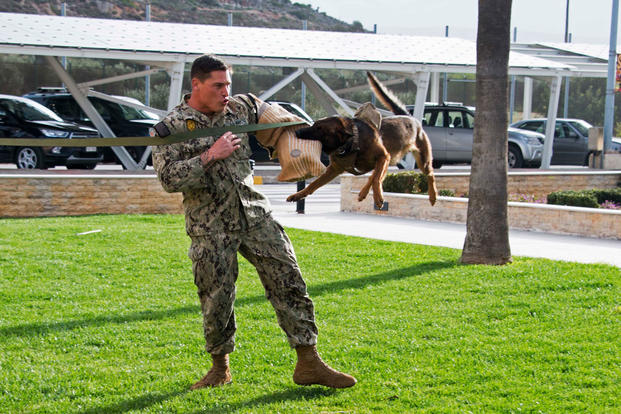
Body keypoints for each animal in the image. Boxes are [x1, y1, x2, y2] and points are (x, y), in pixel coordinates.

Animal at [286, 71, 436, 209]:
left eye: (318, 128)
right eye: (314, 125)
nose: (297, 131)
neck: (351, 144)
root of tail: (411, 118)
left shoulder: (383, 156)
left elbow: (375, 179)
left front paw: (378, 197)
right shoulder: (334, 169)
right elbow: (313, 184)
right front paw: (298, 195)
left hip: (420, 160)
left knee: (430, 175)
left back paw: (433, 196)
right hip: (387, 160)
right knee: (376, 176)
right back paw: (364, 192)